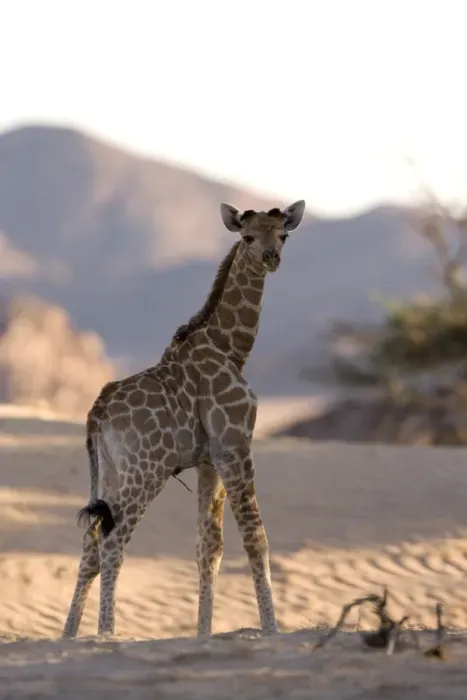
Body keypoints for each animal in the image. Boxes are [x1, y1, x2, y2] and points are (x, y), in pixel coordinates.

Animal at [62, 199, 306, 639]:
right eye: (247, 236)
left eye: (283, 234)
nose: (271, 258)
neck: (231, 348)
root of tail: (96, 413)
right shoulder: (235, 445)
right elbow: (255, 537)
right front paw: (272, 628)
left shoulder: (208, 461)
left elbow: (209, 547)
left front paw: (204, 632)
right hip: (147, 469)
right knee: (112, 542)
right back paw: (107, 632)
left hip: (110, 471)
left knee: (91, 542)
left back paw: (69, 635)